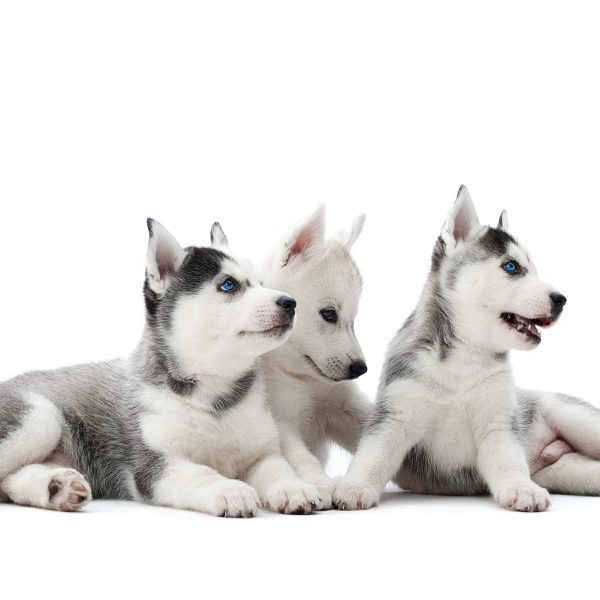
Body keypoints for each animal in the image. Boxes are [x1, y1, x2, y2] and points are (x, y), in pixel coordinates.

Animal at [0, 219, 324, 516]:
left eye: (261, 283)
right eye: (228, 285)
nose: (290, 302)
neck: (214, 394)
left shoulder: (262, 453)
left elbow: (278, 470)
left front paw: (294, 488)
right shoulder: (155, 464)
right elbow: (201, 472)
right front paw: (229, 489)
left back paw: (58, 488)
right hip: (40, 418)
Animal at [262, 207, 370, 510]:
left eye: (353, 320)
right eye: (329, 313)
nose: (360, 369)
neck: (304, 379)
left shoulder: (344, 405)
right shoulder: (278, 417)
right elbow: (298, 454)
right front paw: (316, 483)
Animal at [336, 186, 596, 510]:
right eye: (512, 267)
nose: (561, 300)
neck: (462, 361)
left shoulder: (498, 425)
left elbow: (509, 462)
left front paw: (522, 487)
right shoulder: (394, 417)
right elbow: (373, 455)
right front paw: (355, 486)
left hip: (575, 419)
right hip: (567, 470)